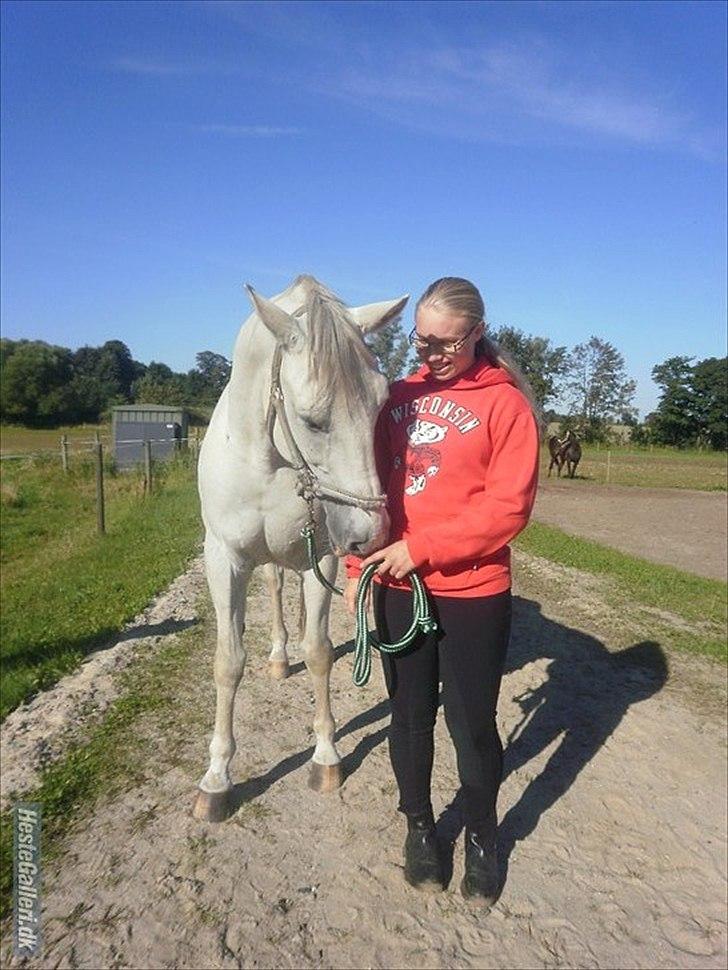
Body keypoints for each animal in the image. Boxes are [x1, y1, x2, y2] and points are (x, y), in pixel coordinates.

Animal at [193, 275, 407, 823]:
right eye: (312, 420)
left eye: (380, 406)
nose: (371, 534)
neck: (268, 460)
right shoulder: (223, 560)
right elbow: (228, 661)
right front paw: (216, 778)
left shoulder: (323, 556)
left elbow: (318, 653)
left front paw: (326, 756)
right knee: (271, 586)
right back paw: (275, 656)